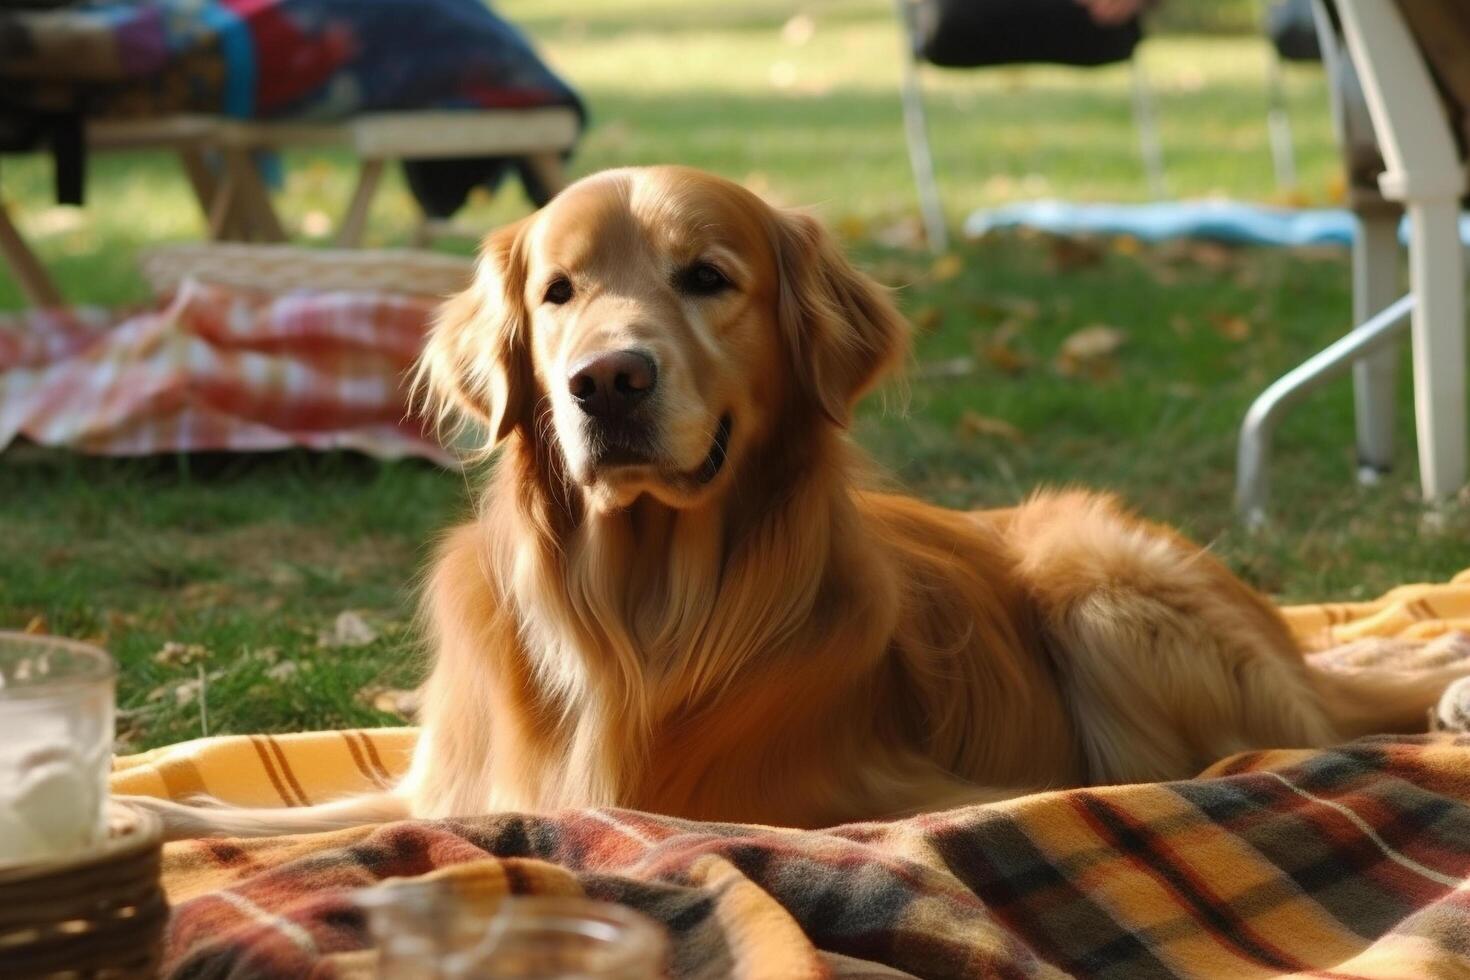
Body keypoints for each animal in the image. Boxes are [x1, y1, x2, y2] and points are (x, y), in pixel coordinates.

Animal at [135, 164, 1458, 840]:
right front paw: (157, 810)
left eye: (707, 278)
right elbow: (304, 815)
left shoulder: (824, 800)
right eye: (559, 292)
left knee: (1310, 719)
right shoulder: (445, 785)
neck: (634, 608)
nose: (606, 381)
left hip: (1103, 588)